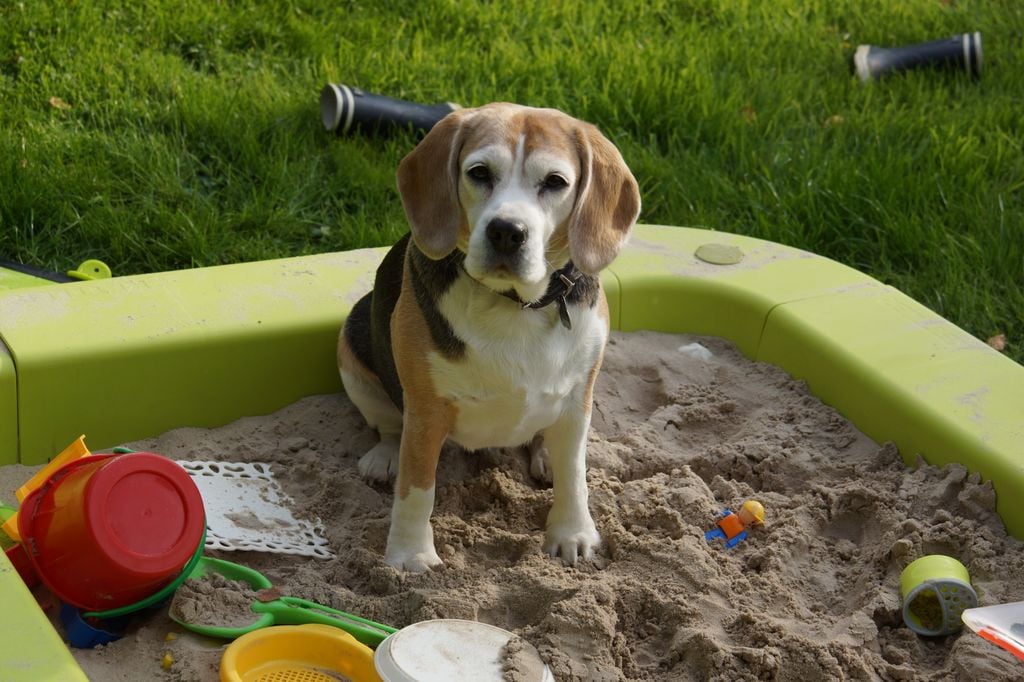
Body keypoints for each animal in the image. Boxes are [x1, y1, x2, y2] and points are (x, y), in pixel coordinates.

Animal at [335, 102, 638, 569]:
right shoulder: (425, 410)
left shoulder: (578, 397)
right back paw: (384, 457)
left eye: (555, 182)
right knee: (387, 427)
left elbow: (574, 475)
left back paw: (545, 453)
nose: (507, 231)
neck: (515, 304)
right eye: (479, 173)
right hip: (351, 350)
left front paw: (573, 532)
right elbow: (417, 489)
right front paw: (410, 555)